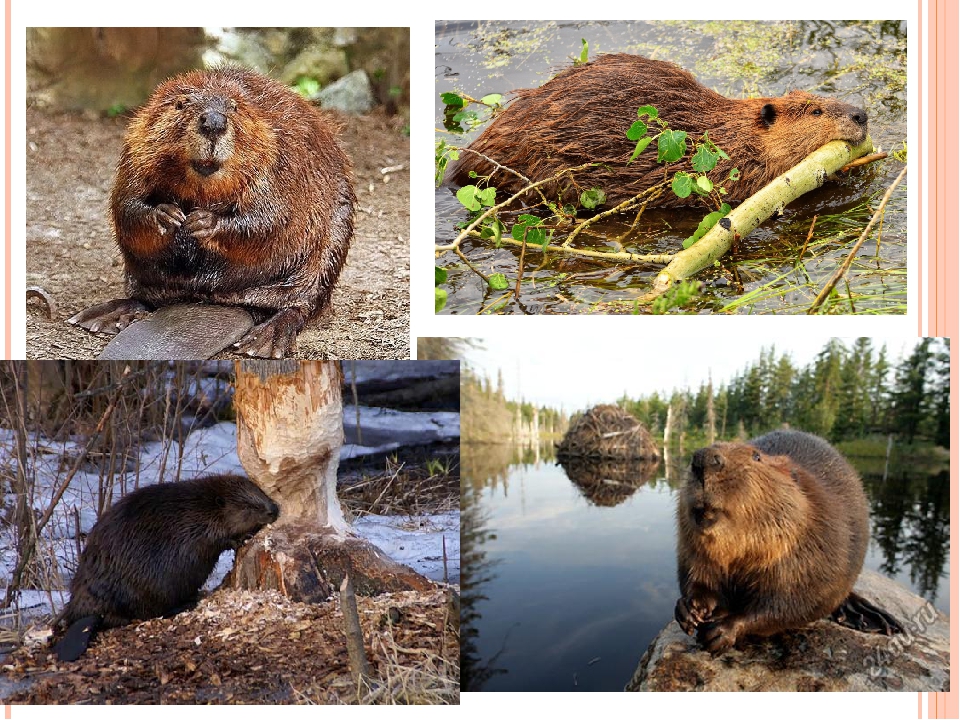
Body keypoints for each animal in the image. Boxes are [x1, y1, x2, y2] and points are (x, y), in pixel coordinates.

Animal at [53, 476, 280, 660]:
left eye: (261, 494)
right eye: (249, 506)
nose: (273, 509)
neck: (204, 506)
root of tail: (85, 614)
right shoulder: (201, 528)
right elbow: (220, 539)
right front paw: (243, 537)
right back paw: (188, 602)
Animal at [66, 66, 356, 358]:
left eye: (235, 107)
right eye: (181, 104)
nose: (214, 122)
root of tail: (224, 300)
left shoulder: (280, 156)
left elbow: (271, 218)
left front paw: (202, 221)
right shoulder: (136, 148)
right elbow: (126, 204)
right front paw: (168, 215)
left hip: (333, 240)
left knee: (301, 305)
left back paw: (264, 340)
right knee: (144, 299)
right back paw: (101, 316)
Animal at [676, 430, 900, 656]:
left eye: (756, 456)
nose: (703, 459)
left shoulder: (817, 546)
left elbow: (792, 603)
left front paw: (722, 631)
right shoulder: (692, 548)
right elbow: (697, 577)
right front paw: (690, 609)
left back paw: (871, 618)